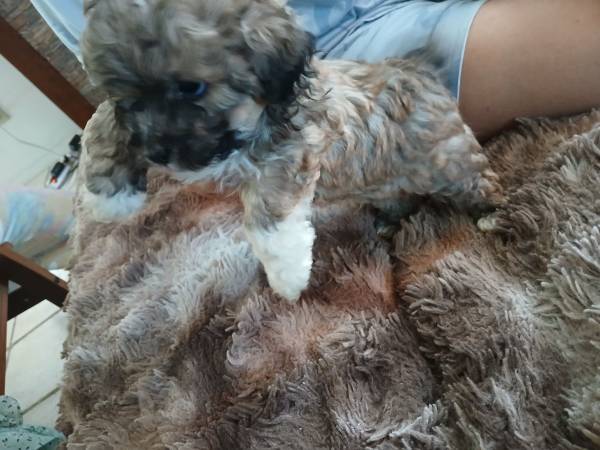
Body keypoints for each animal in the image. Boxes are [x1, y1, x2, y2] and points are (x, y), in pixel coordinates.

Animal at [79, 0, 503, 301]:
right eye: (127, 95)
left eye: (192, 87)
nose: (159, 153)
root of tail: (418, 70)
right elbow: (102, 123)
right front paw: (107, 196)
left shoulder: (286, 158)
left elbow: (269, 222)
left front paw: (287, 276)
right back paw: (389, 219)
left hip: (448, 162)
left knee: (478, 180)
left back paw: (491, 213)